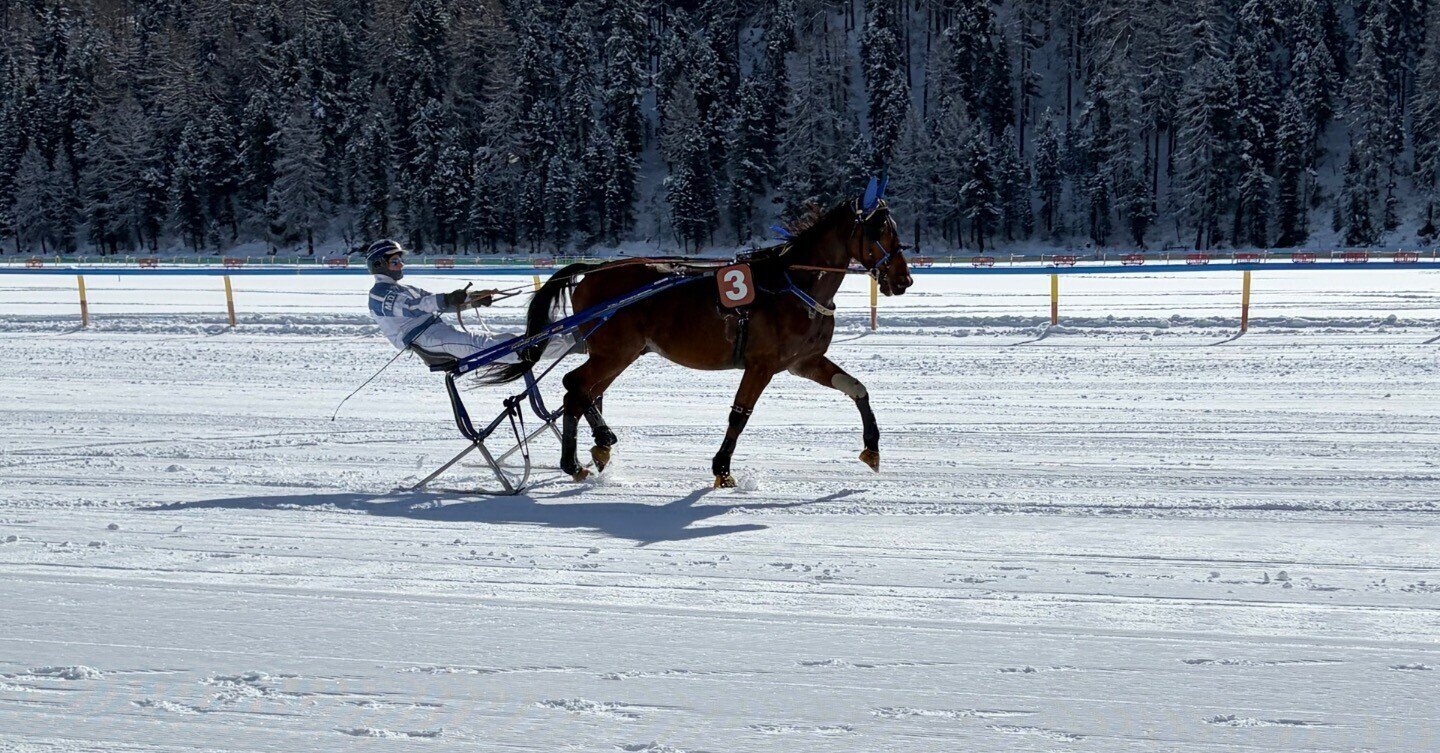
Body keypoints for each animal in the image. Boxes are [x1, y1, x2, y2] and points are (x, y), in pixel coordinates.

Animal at [483, 179, 914, 487]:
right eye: (879, 229)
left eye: (894, 228)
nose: (903, 280)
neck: (793, 284)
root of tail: (595, 270)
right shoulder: (761, 365)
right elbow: (739, 415)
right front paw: (722, 469)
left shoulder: (804, 362)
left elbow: (856, 388)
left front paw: (872, 449)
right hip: (614, 350)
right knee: (577, 387)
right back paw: (574, 462)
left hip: (619, 352)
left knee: (584, 390)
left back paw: (599, 447)